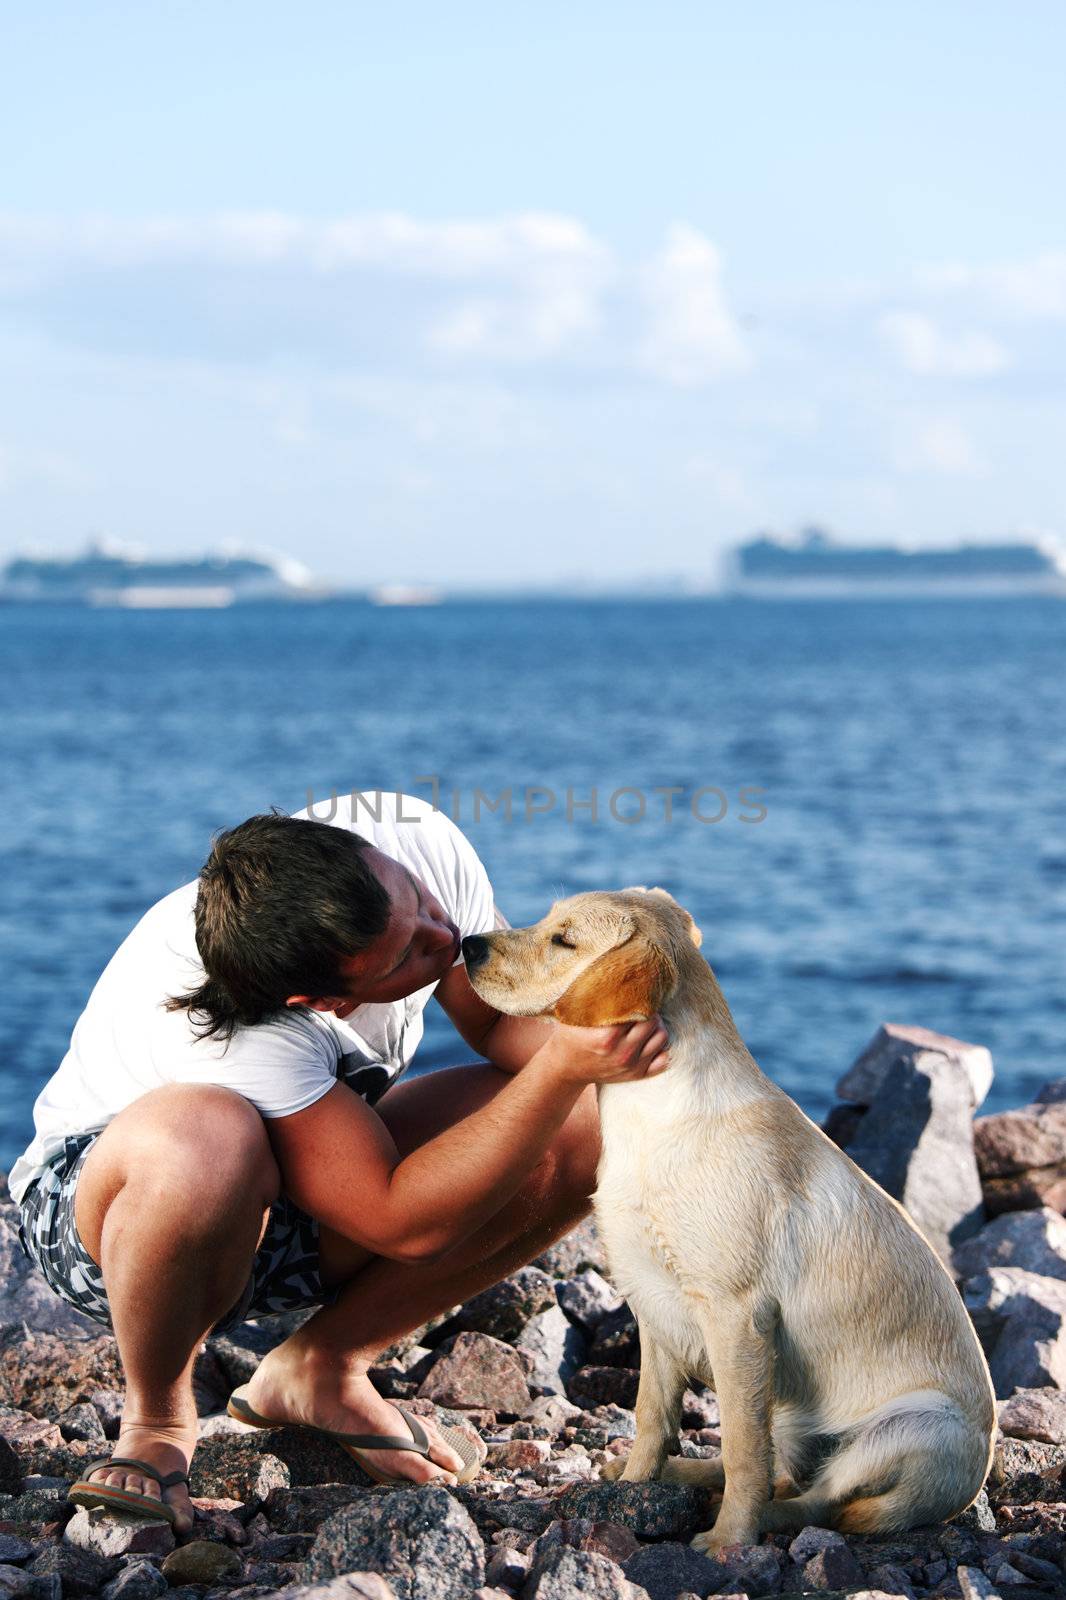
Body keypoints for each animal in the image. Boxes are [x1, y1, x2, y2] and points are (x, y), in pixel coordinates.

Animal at [460, 889, 992, 1548]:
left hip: (915, 1428)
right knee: (786, 1475)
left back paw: (750, 1518)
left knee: (816, 1499)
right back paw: (682, 1476)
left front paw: (728, 1541)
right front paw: (633, 1486)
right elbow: (652, 1419)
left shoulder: (736, 1313)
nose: (467, 945)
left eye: (565, 939)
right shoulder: (653, 1304)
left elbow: (741, 1448)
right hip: (793, 1416)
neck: (653, 1114)